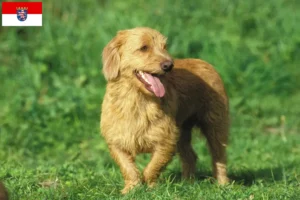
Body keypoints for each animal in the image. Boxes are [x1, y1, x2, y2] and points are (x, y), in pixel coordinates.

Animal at [101, 27, 230, 194]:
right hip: (182, 132)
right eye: (144, 48)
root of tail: (204, 62)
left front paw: (151, 188)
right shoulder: (116, 141)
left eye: (164, 47)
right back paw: (187, 184)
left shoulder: (166, 140)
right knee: (190, 156)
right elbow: (128, 168)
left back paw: (222, 184)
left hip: (215, 126)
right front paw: (131, 189)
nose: (169, 65)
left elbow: (152, 168)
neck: (138, 100)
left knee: (219, 157)